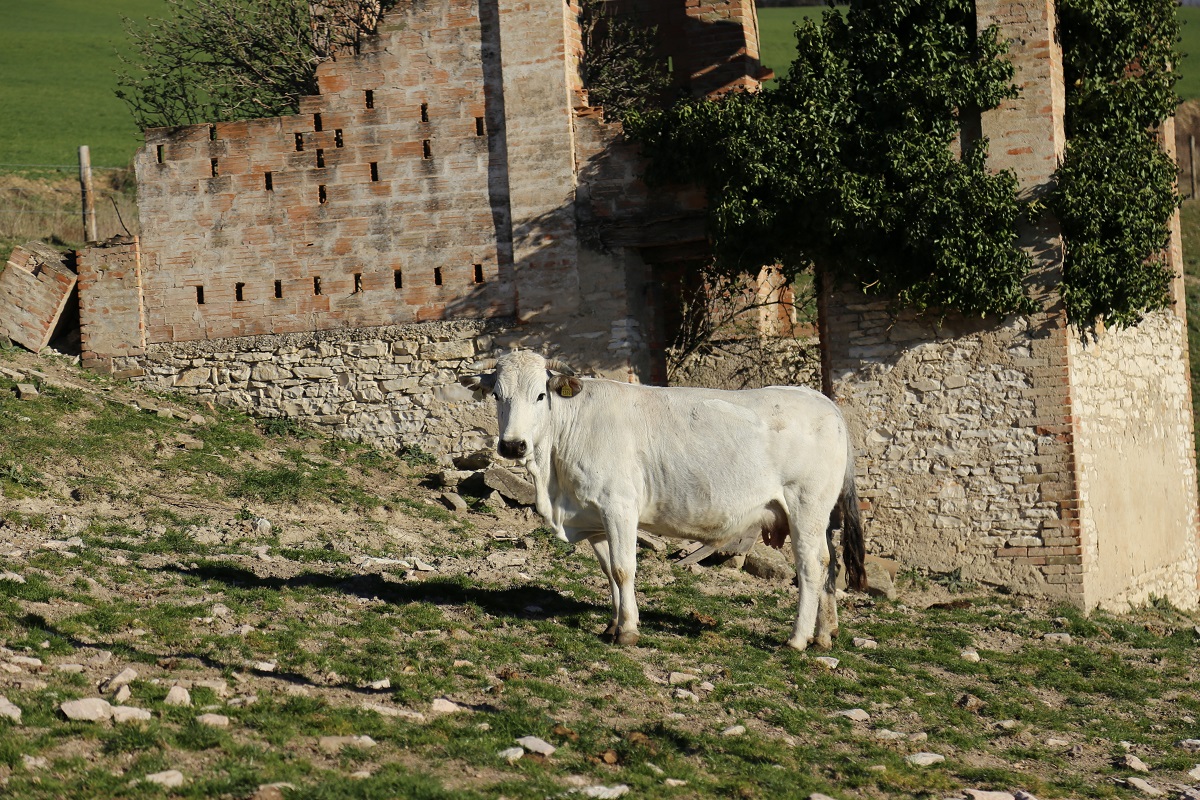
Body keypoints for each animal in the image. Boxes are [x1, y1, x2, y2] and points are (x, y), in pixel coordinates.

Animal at [459, 350, 866, 650]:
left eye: (540, 395)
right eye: (497, 395)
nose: (513, 445)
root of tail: (822, 400)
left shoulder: (619, 506)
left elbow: (624, 568)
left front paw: (627, 632)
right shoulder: (595, 517)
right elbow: (609, 571)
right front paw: (613, 625)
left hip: (805, 506)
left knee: (810, 566)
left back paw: (797, 639)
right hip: (821, 515)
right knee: (829, 563)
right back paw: (824, 634)